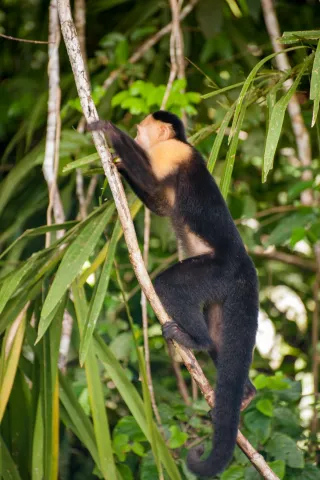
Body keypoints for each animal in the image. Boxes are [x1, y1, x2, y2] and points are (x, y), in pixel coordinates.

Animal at [89, 111, 258, 476]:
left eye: (141, 128)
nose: (136, 131)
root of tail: (246, 265)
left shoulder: (172, 152)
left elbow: (156, 186)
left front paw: (109, 131)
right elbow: (161, 204)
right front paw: (118, 164)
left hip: (217, 270)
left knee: (171, 287)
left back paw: (194, 342)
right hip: (224, 288)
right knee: (220, 336)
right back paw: (247, 394)